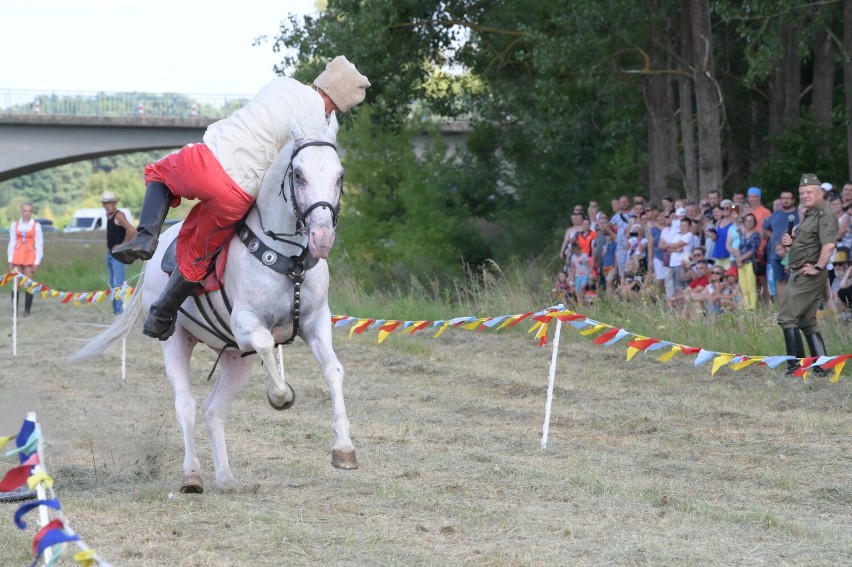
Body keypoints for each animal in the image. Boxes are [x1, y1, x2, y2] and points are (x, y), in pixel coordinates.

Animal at [70, 114, 356, 492]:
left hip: (236, 358)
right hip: (177, 341)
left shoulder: (316, 323)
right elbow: (268, 344)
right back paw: (192, 474)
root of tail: (161, 247)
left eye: (340, 175)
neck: (288, 258)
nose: (322, 236)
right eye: (299, 175)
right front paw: (280, 396)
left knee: (213, 411)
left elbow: (334, 371)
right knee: (186, 406)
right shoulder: (247, 324)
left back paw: (226, 477)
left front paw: (344, 449)